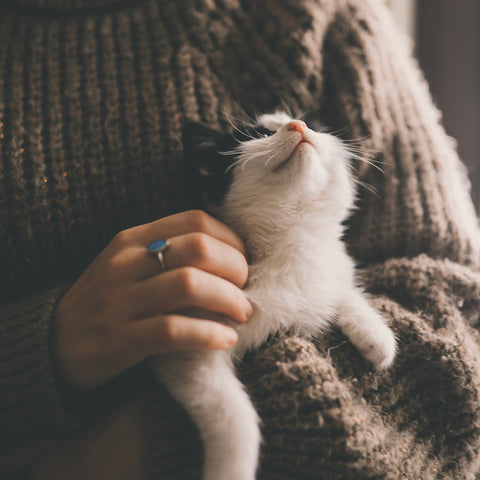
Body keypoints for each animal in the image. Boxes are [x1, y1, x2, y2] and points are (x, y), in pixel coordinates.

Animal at [152, 112, 396, 480]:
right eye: (259, 134)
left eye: (314, 127)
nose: (298, 126)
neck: (293, 238)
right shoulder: (191, 343)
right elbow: (234, 416)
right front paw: (231, 469)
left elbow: (341, 287)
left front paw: (377, 338)